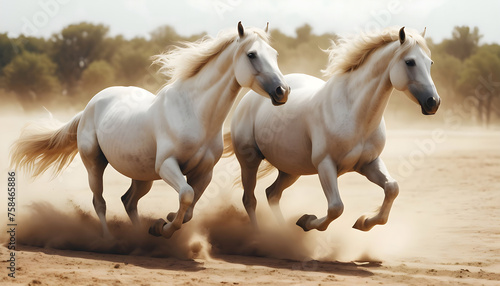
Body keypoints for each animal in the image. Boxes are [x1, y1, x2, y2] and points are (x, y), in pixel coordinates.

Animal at [10, 22, 290, 238]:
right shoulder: (167, 165)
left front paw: (162, 222)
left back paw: (139, 237)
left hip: (142, 176)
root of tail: (90, 106)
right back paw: (110, 240)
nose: (282, 91)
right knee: (100, 202)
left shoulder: (204, 172)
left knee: (128, 201)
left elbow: (189, 207)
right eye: (251, 54)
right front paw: (163, 227)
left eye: (275, 54)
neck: (194, 113)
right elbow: (186, 195)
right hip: (95, 164)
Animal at [227, 26, 442, 232]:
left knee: (272, 194)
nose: (433, 102)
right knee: (250, 199)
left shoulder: (369, 163)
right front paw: (307, 221)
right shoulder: (326, 165)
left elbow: (392, 188)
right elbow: (336, 208)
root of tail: (251, 98)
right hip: (249, 161)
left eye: (430, 63)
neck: (354, 113)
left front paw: (363, 222)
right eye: (410, 62)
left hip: (291, 169)